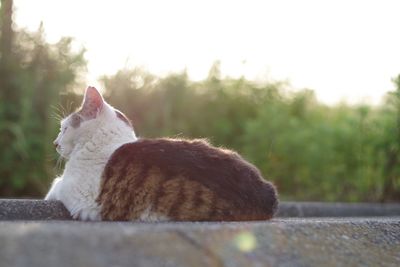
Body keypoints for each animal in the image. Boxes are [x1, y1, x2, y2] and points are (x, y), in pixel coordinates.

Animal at [46, 86, 278, 222]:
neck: (107, 141)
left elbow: (55, 185)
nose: (55, 143)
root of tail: (267, 195)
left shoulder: (76, 193)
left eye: (64, 128)